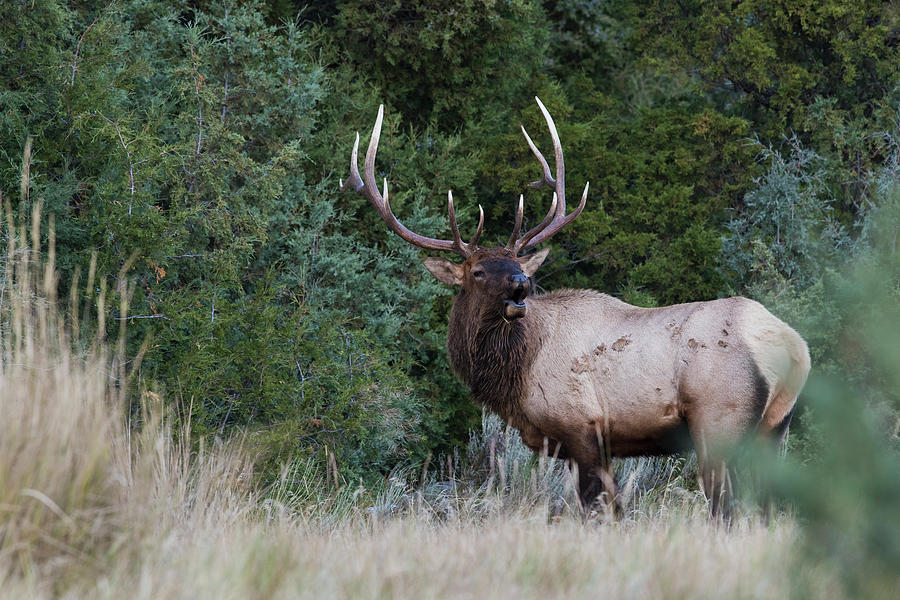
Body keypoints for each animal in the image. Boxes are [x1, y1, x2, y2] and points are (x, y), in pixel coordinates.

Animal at [342, 97, 812, 516]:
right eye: (477, 271)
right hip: (776, 426)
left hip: (719, 420)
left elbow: (600, 510)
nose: (521, 285)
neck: (517, 373)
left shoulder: (582, 426)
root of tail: (793, 347)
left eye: (516, 264)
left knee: (727, 507)